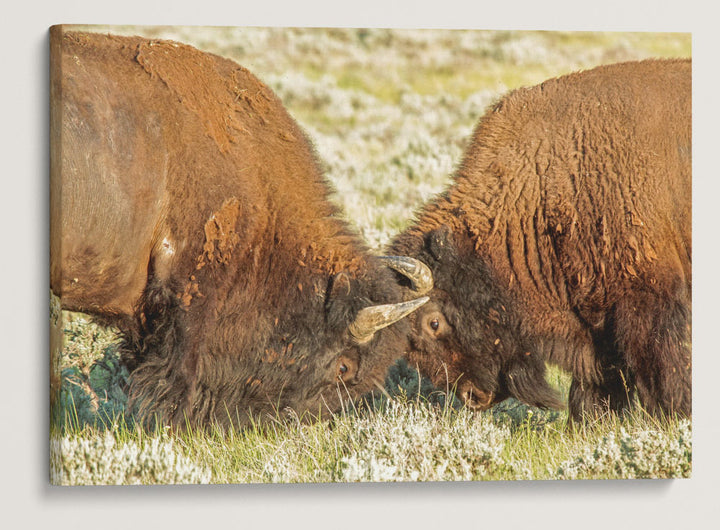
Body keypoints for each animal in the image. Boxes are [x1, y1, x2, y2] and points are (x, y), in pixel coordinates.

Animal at [388, 58, 692, 420]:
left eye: (433, 323)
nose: (472, 397)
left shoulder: (650, 295)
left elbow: (661, 368)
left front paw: (675, 416)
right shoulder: (593, 319)